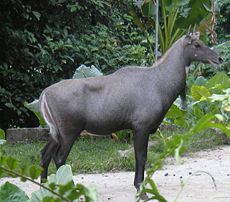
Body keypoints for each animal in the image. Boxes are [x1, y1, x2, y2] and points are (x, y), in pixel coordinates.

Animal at [39, 32, 223, 191]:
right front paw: (140, 186)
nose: (219, 58)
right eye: (197, 44)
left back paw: (46, 186)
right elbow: (141, 157)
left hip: (56, 132)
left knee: (45, 154)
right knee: (59, 158)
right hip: (70, 132)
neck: (160, 81)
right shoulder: (141, 127)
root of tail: (45, 94)